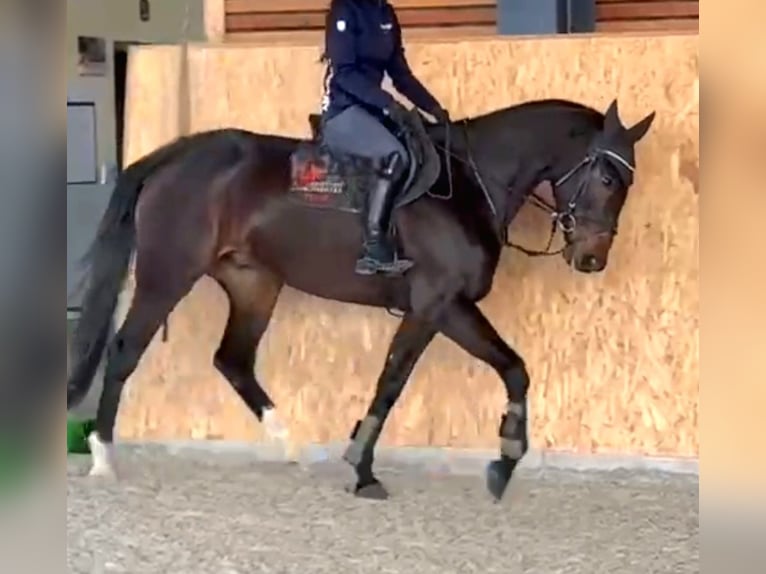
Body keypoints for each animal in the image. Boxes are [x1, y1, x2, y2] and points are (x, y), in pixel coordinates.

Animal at [67, 97, 655, 501]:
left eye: (627, 181)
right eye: (606, 176)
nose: (592, 259)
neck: (469, 183)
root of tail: (178, 154)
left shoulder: (439, 309)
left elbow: (508, 370)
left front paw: (503, 461)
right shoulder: (438, 304)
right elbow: (399, 380)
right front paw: (366, 467)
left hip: (254, 283)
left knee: (232, 360)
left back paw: (289, 445)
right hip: (168, 274)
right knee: (125, 350)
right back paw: (103, 457)